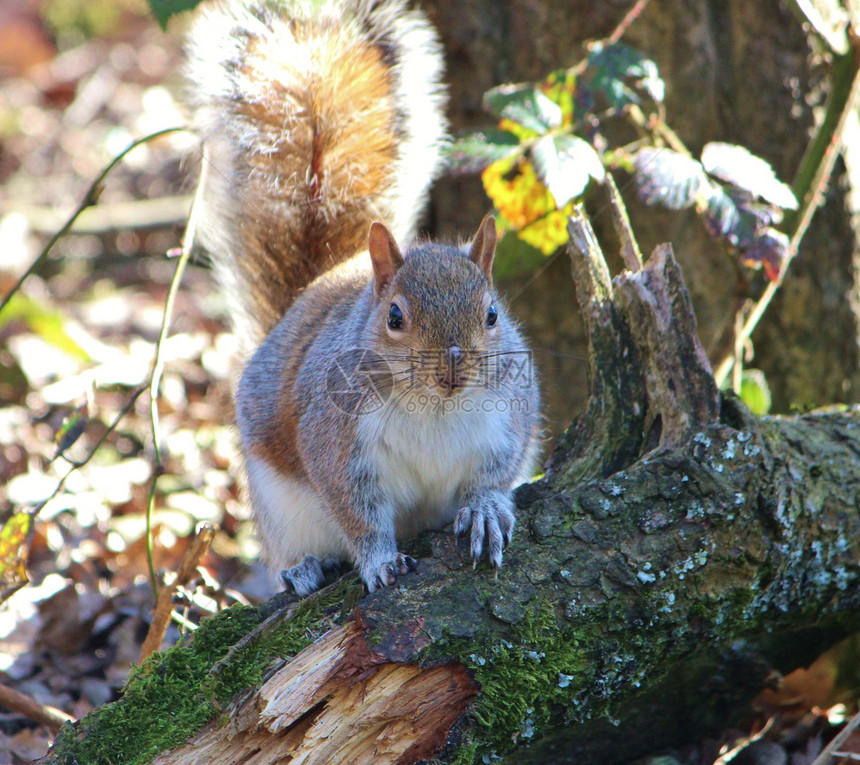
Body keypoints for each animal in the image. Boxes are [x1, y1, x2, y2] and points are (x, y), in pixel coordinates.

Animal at [186, 0, 540, 592]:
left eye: (492, 314)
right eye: (394, 316)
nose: (451, 370)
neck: (434, 408)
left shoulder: (510, 416)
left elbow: (496, 474)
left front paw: (486, 510)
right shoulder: (335, 439)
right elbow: (357, 512)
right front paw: (378, 559)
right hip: (279, 505)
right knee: (285, 548)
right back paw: (301, 568)